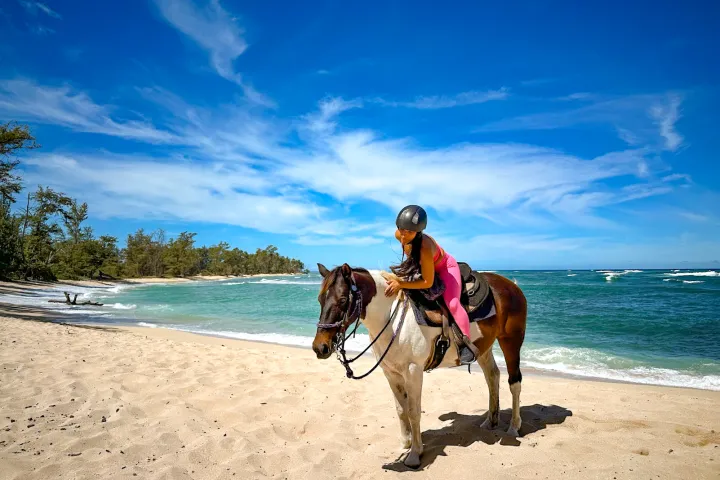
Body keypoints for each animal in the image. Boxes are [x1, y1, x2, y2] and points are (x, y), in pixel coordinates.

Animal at [311, 262, 527, 469]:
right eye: (320, 299)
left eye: (342, 300)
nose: (320, 347)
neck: (391, 317)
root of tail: (512, 285)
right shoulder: (391, 373)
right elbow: (401, 410)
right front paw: (405, 444)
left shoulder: (413, 371)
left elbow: (414, 412)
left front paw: (415, 454)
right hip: (483, 347)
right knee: (492, 376)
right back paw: (490, 421)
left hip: (510, 340)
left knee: (514, 382)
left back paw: (514, 426)